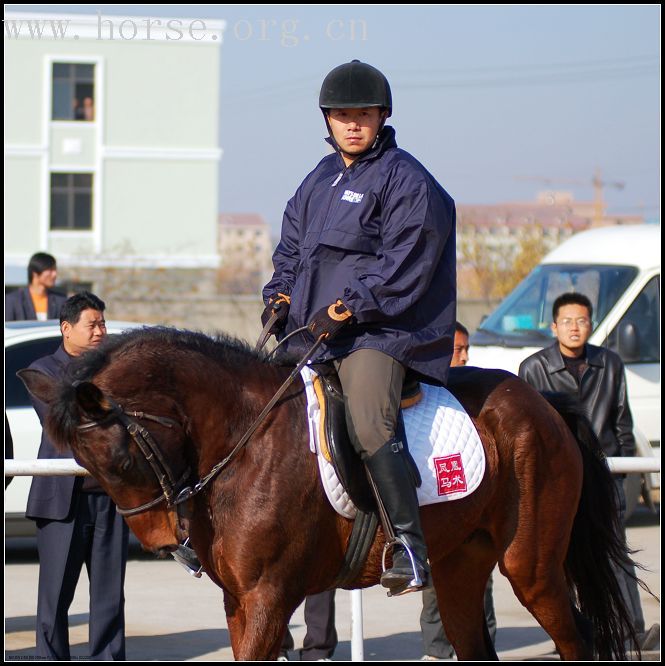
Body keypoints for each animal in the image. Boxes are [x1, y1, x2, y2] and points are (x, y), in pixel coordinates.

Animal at [20, 324, 640, 656]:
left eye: (122, 458)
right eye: (82, 465)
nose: (159, 542)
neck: (247, 438)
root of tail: (544, 403)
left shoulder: (269, 596)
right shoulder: (238, 600)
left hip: (531, 566)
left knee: (575, 637)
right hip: (461, 567)